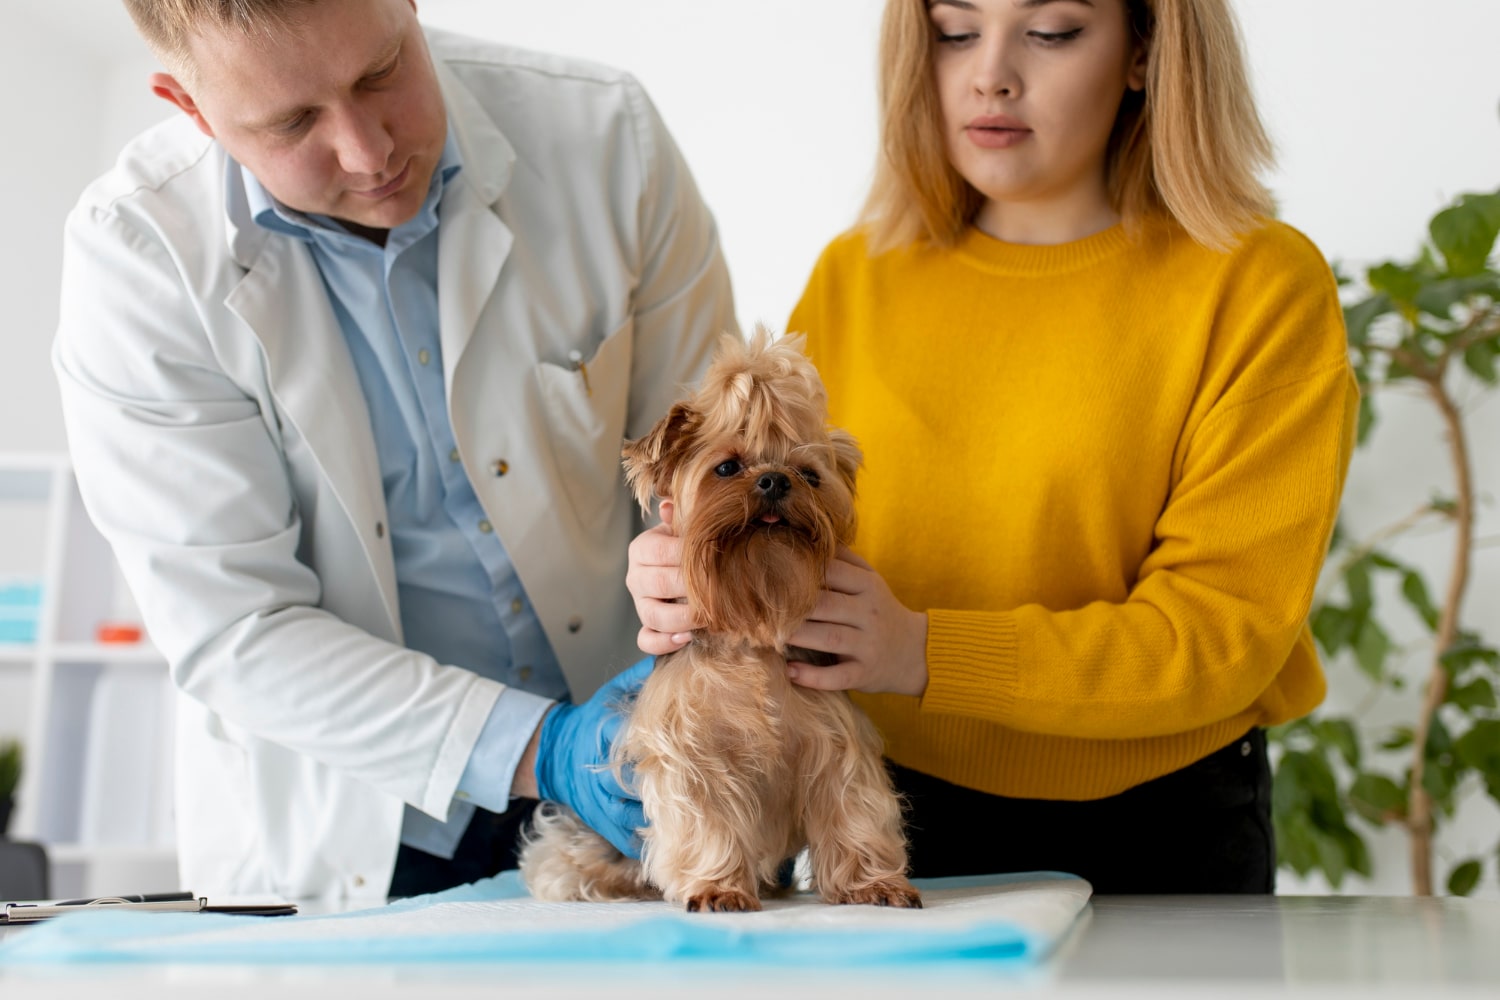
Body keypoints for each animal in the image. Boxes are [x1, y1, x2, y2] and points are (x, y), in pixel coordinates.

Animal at [522, 328, 918, 917]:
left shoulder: (835, 742)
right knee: (561, 862)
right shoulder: (689, 748)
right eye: (728, 467)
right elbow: (705, 817)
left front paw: (873, 883)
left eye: (809, 475)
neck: (751, 633)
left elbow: (853, 806)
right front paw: (717, 888)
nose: (775, 480)